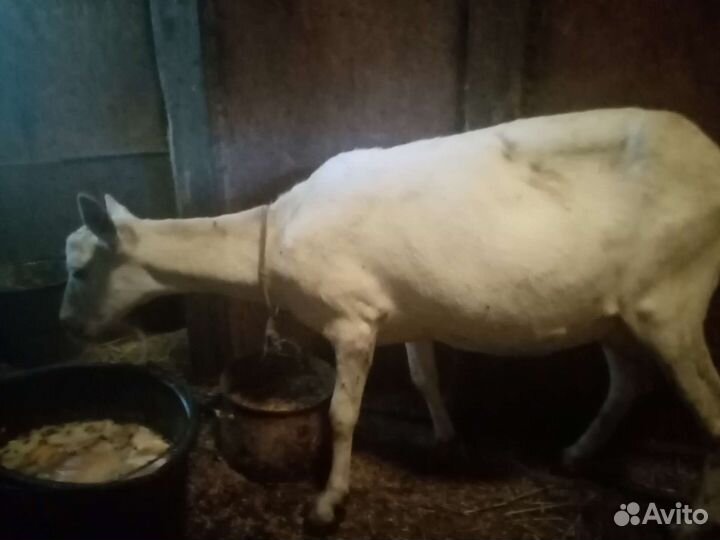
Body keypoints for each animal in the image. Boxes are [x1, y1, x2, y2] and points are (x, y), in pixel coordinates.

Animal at [61, 108, 720, 526]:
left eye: (80, 269)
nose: (70, 328)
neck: (275, 236)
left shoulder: (353, 318)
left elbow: (342, 414)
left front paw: (328, 503)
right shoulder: (407, 315)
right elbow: (425, 379)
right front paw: (447, 440)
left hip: (671, 300)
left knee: (709, 404)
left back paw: (693, 519)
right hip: (616, 315)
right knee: (628, 383)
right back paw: (577, 455)